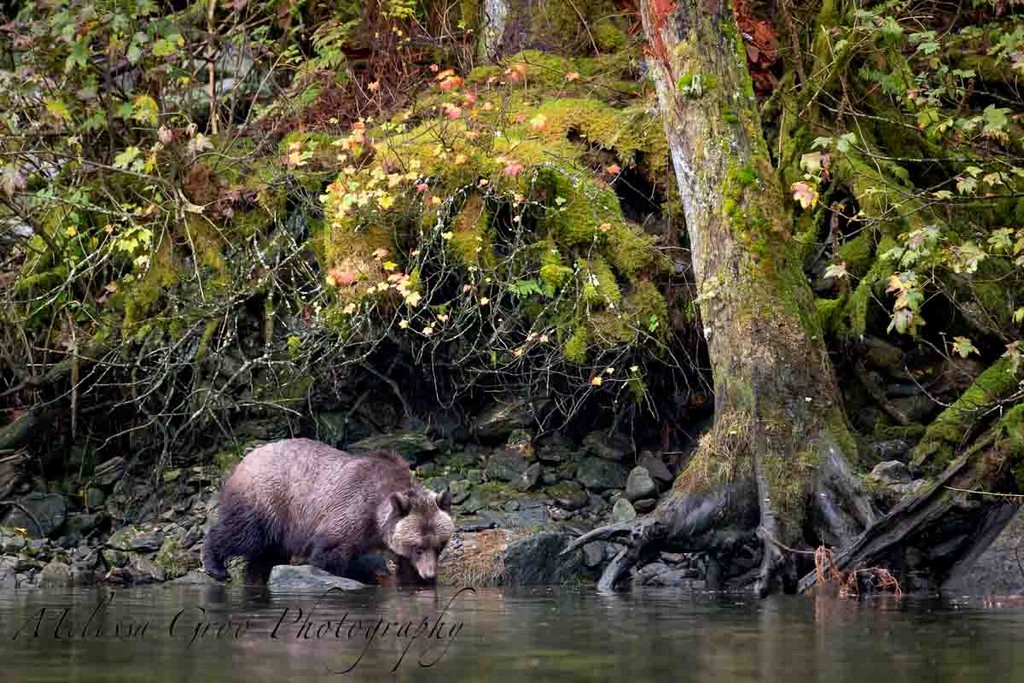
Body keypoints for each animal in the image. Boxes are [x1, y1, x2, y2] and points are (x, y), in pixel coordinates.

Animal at [201, 440, 450, 585]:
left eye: (439, 545)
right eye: (418, 547)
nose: (429, 574)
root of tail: (246, 458)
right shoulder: (349, 513)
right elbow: (328, 554)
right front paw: (364, 574)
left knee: (266, 553)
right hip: (268, 500)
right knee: (243, 534)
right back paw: (217, 567)